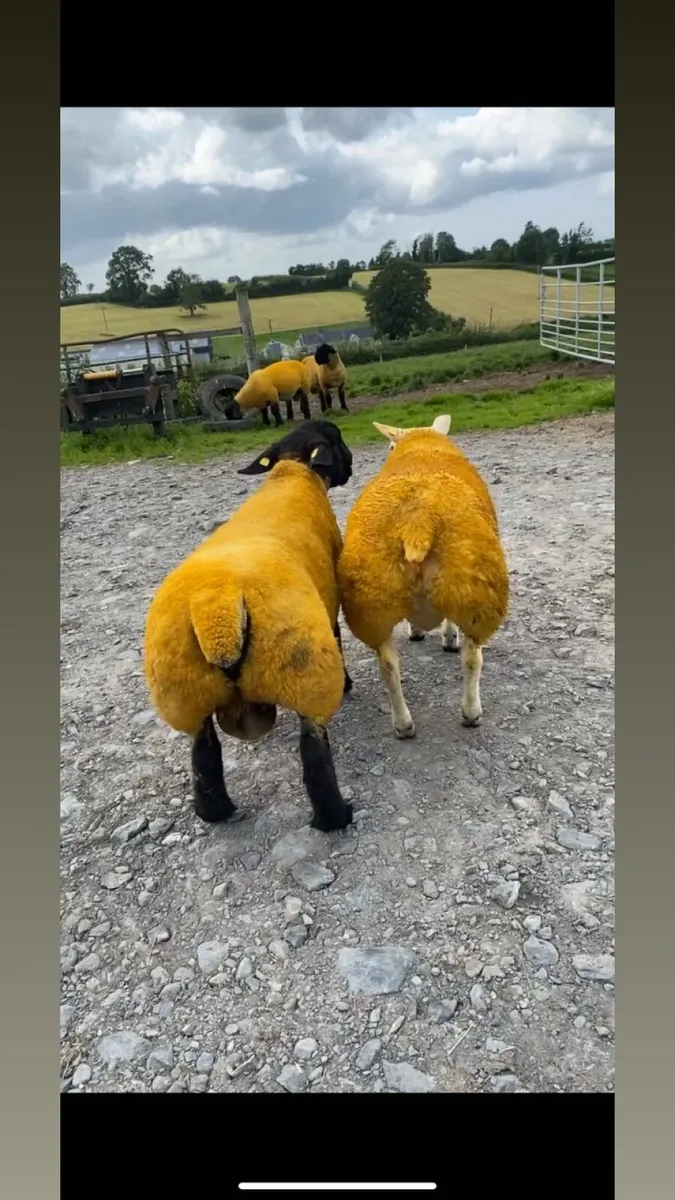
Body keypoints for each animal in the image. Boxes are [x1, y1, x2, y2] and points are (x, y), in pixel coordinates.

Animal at [143, 419, 355, 833]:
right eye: (337, 440)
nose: (352, 465)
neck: (292, 474)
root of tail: (219, 609)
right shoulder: (331, 601)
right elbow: (340, 637)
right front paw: (351, 685)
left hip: (184, 694)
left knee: (203, 755)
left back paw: (217, 811)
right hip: (308, 673)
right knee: (314, 754)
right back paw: (337, 817)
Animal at [337, 412, 509, 739]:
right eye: (390, 446)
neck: (422, 446)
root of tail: (417, 522)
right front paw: (446, 637)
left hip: (371, 605)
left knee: (388, 666)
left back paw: (403, 725)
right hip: (474, 592)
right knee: (472, 659)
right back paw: (471, 713)